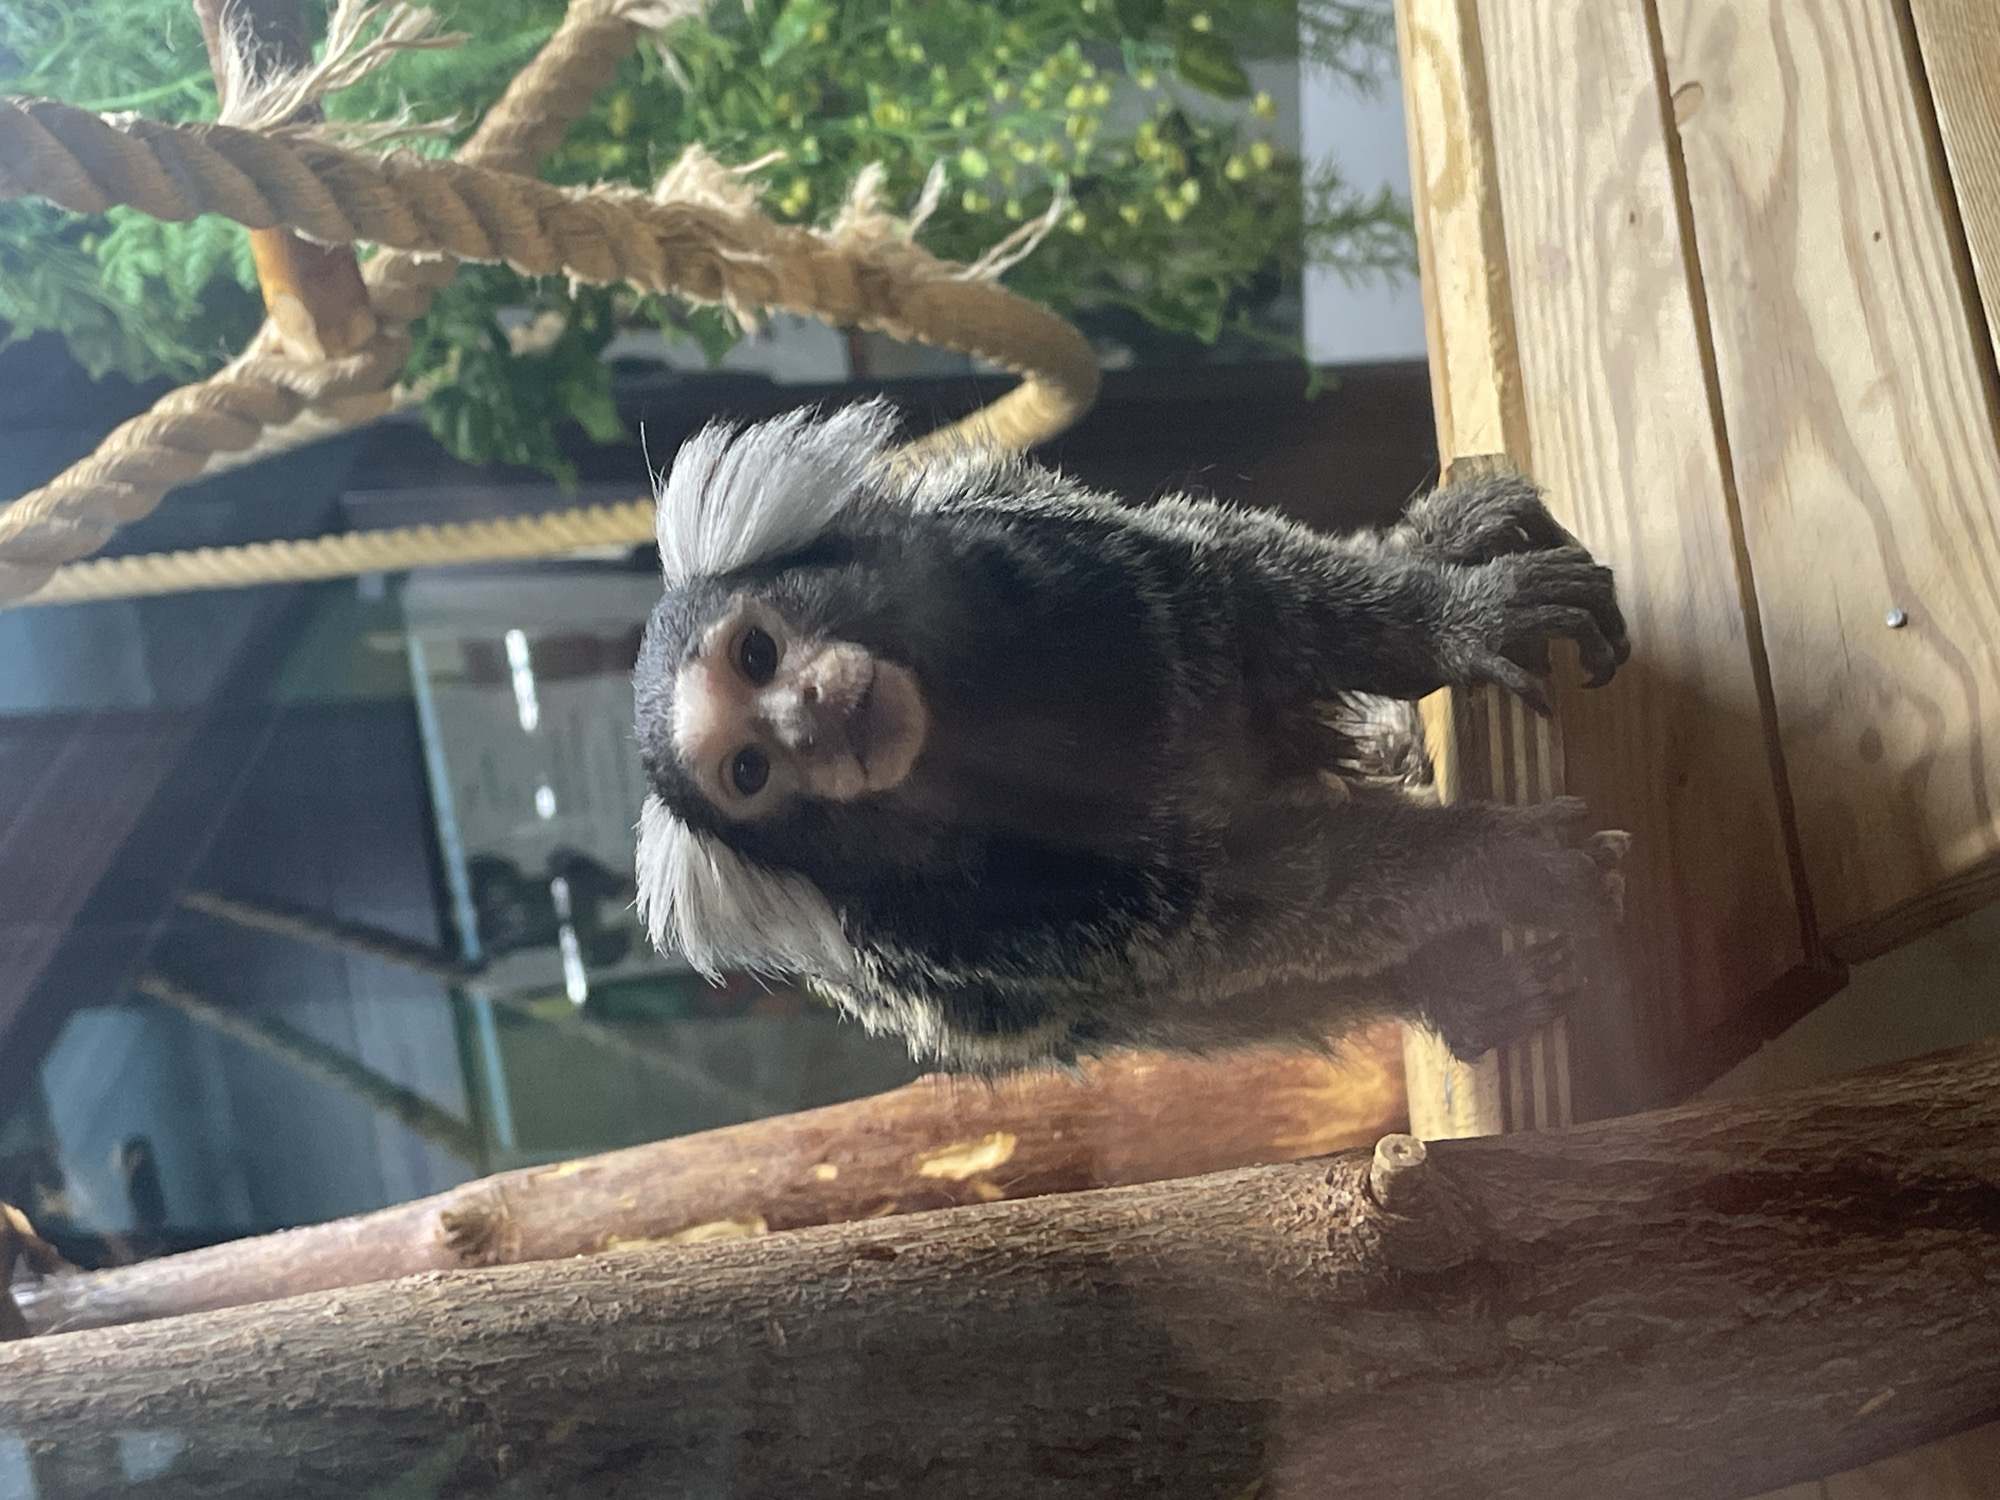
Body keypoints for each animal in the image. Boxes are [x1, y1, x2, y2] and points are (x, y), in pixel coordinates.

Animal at [633, 401, 1630, 1071]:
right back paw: (1456, 988)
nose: (809, 716)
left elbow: (1250, 598)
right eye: (750, 770)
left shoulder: (1067, 566)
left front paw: (1461, 618)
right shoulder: (970, 937)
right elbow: (1255, 912)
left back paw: (1437, 539)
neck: (977, 733)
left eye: (756, 652)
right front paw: (1499, 865)